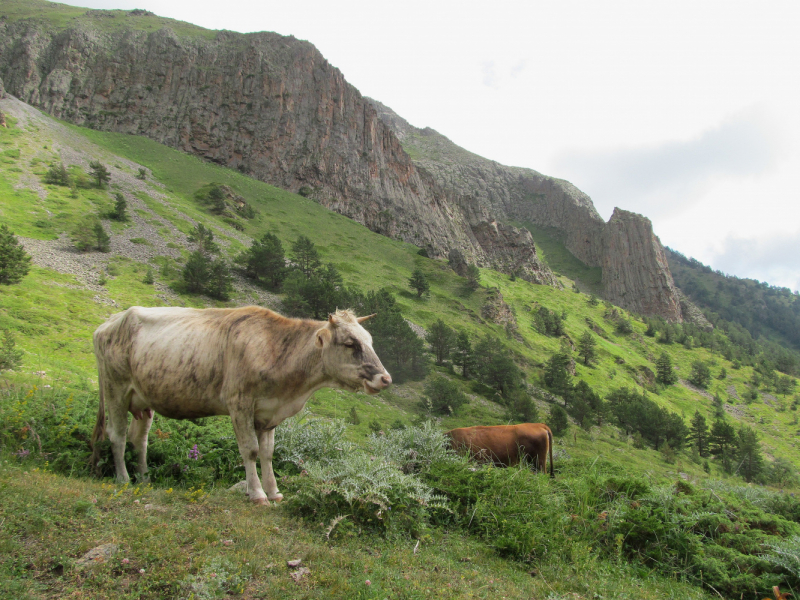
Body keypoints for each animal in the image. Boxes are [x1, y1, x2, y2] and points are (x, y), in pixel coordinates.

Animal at [90, 308, 390, 504]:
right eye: (350, 343)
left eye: (371, 341)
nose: (385, 378)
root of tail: (109, 322)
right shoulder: (239, 403)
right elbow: (251, 450)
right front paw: (257, 494)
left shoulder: (268, 413)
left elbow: (268, 453)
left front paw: (274, 492)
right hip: (115, 388)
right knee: (116, 435)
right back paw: (123, 479)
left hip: (143, 399)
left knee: (139, 438)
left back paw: (144, 478)